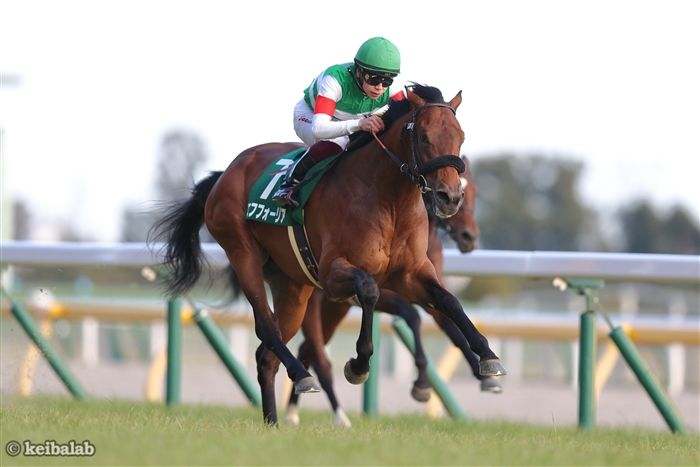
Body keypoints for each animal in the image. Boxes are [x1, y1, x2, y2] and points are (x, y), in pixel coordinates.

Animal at [283, 157, 501, 427]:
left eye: (473, 192)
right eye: (456, 192)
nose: (469, 237)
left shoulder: (428, 290)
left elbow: (453, 328)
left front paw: (486, 375)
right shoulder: (388, 294)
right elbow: (412, 316)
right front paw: (421, 384)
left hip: (335, 308)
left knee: (308, 349)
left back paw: (295, 409)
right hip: (314, 302)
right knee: (316, 353)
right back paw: (326, 414)